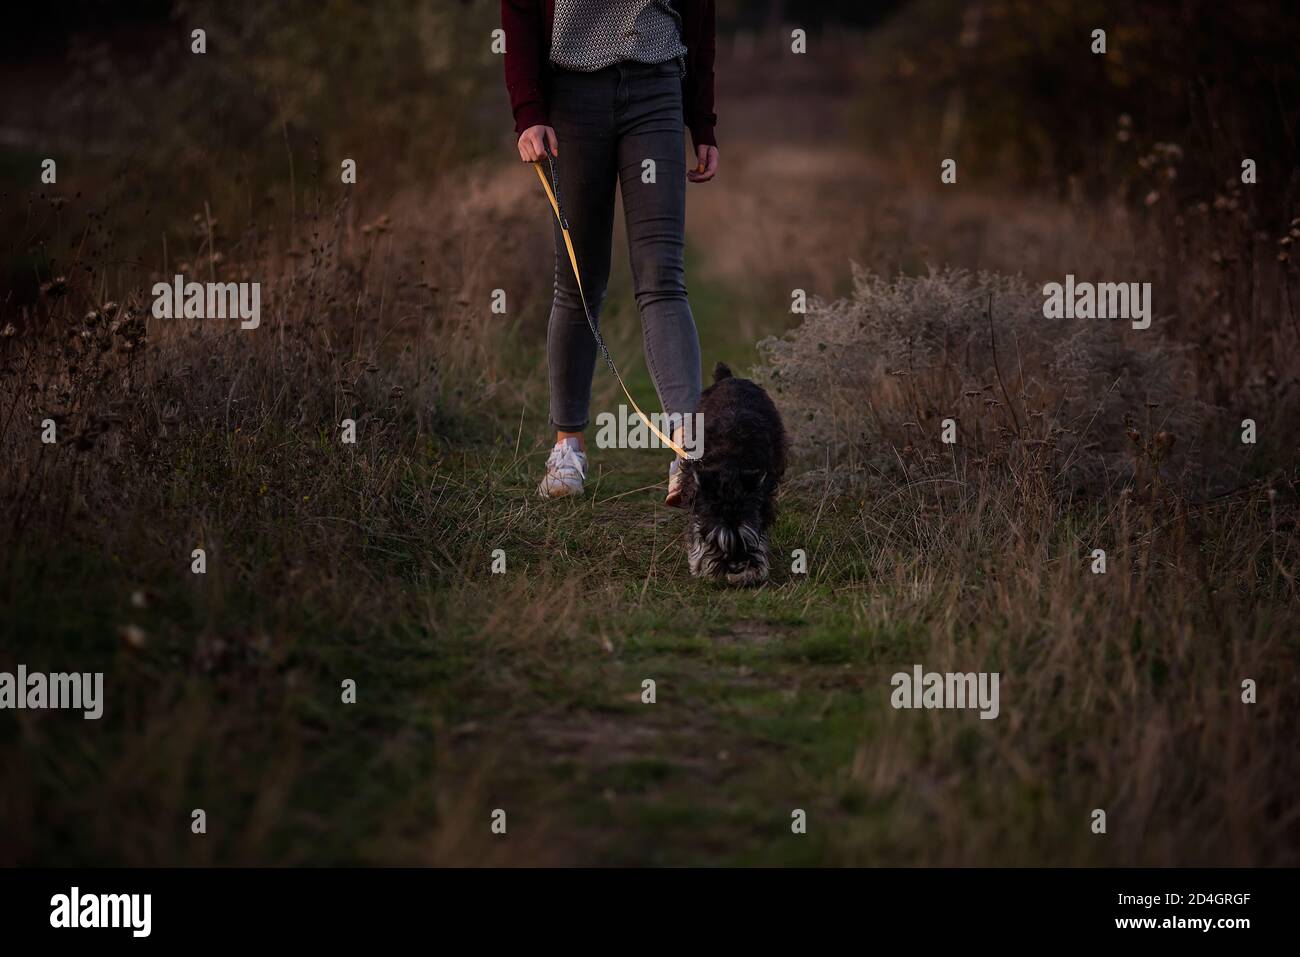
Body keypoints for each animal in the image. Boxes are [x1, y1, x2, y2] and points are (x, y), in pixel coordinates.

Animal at [676, 361, 785, 582]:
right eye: (716, 541)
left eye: (746, 539)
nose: (736, 567)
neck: (730, 470)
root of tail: (729, 378)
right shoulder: (698, 494)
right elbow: (697, 526)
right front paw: (699, 563)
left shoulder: (761, 497)